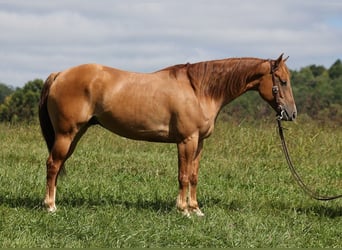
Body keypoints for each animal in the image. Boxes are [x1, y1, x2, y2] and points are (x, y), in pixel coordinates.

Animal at [38, 53, 296, 217]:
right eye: (282, 81)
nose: (291, 114)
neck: (199, 90)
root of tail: (59, 74)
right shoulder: (186, 141)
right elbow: (183, 176)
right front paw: (183, 210)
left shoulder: (199, 143)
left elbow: (193, 176)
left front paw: (196, 209)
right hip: (66, 134)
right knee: (52, 165)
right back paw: (50, 206)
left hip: (74, 135)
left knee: (57, 166)